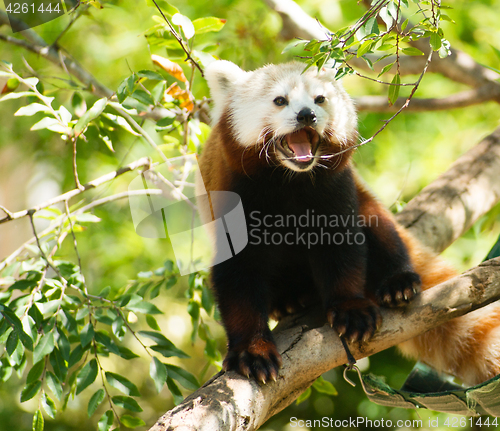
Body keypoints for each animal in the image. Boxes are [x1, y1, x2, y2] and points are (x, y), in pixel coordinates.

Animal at [197, 60, 500, 384]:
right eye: (280, 100)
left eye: (319, 99)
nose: (307, 115)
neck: (289, 180)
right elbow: (238, 278)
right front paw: (252, 351)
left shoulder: (334, 189)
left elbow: (342, 252)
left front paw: (351, 309)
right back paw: (289, 299)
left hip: (365, 201)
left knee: (381, 228)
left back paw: (398, 282)